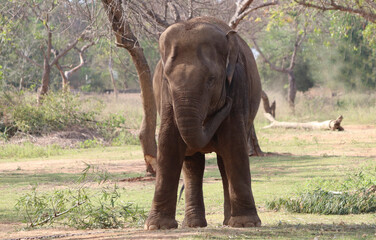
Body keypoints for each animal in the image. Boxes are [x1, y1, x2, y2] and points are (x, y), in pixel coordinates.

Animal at [144, 15, 262, 230]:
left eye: (211, 79)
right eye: (166, 79)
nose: (226, 102)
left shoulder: (237, 84)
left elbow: (234, 144)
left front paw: (247, 223)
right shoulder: (166, 98)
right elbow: (168, 144)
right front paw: (157, 226)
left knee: (223, 161)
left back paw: (228, 221)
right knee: (193, 165)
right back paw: (194, 224)